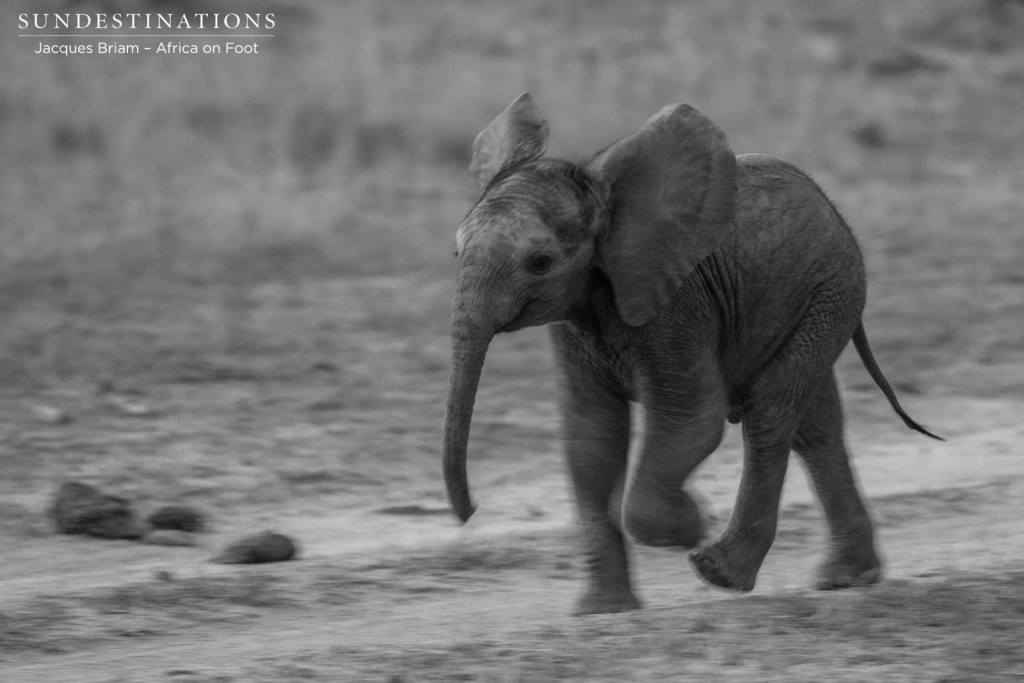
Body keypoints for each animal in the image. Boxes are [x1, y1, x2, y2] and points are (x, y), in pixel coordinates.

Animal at [444, 93, 937, 618]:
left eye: (539, 263)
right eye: (456, 254)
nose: (471, 512)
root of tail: (832, 208)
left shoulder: (677, 305)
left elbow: (690, 423)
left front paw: (693, 524)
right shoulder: (574, 323)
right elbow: (591, 438)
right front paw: (602, 611)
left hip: (830, 291)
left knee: (771, 411)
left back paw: (720, 570)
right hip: (814, 301)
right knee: (814, 425)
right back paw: (847, 577)